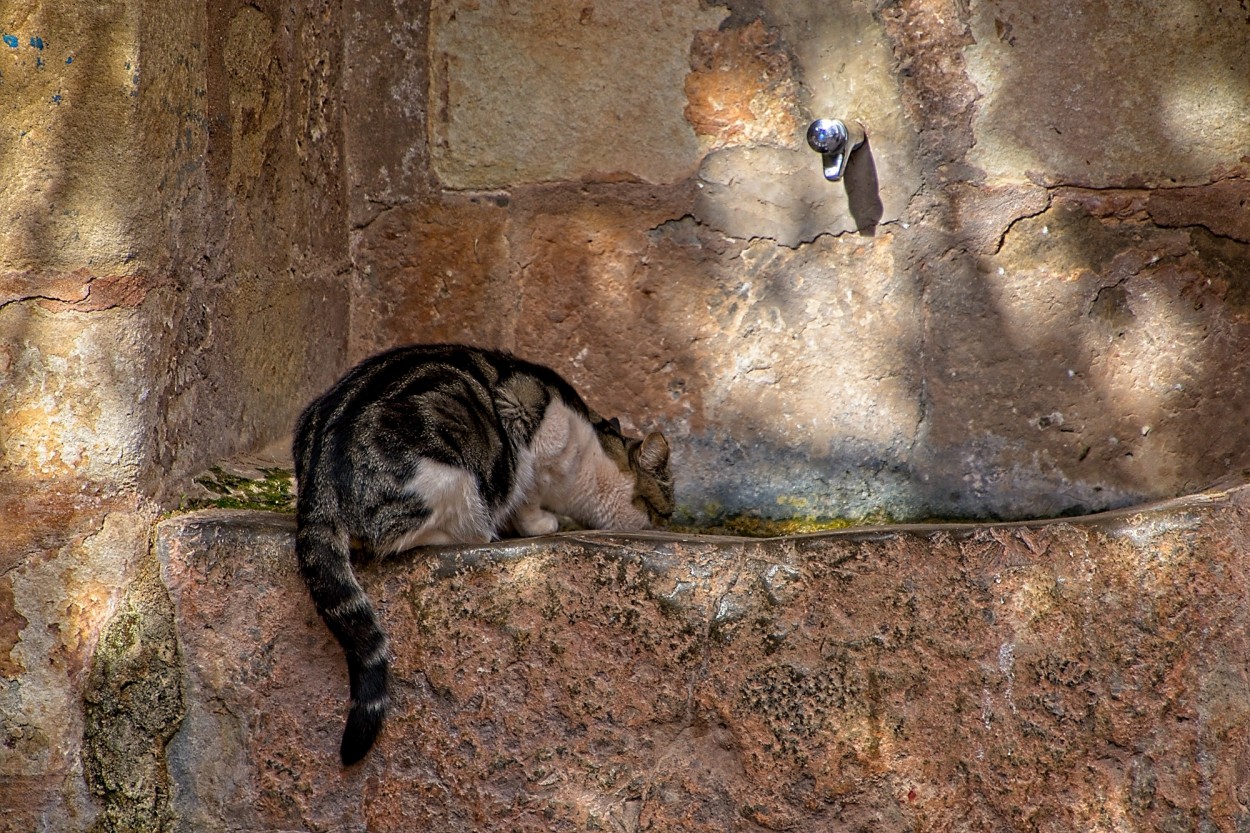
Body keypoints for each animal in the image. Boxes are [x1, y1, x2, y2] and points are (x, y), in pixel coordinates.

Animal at [290, 340, 675, 760]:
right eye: (666, 510)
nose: (670, 524)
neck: (588, 464)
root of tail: (318, 483)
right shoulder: (531, 432)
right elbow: (528, 496)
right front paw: (542, 522)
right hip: (449, 476)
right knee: (397, 534)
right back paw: (478, 532)